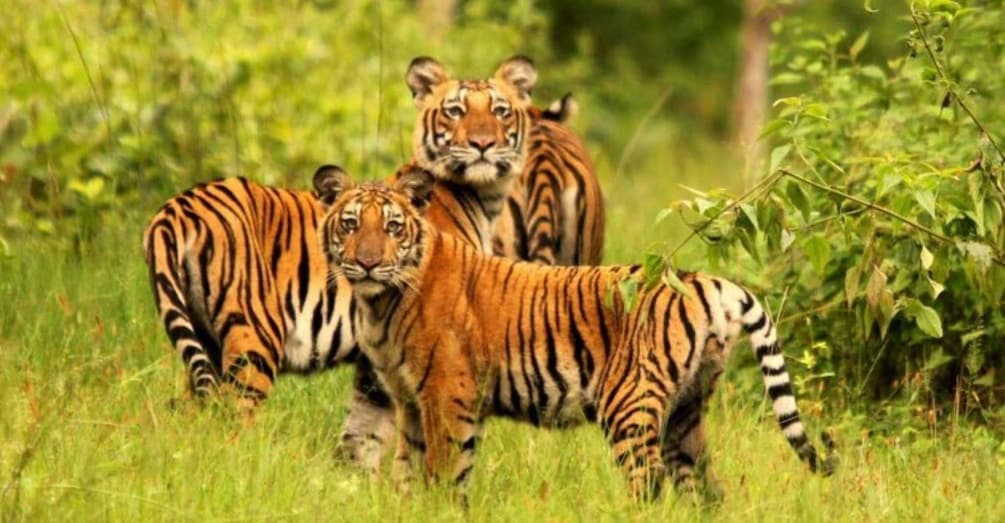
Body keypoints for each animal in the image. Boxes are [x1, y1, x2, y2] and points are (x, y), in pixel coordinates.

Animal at [316, 166, 836, 502]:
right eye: (350, 224)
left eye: (392, 227)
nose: (366, 262)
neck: (380, 302)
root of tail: (703, 280)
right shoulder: (410, 401)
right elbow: (408, 471)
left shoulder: (448, 396)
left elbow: (447, 472)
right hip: (686, 412)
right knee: (703, 491)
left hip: (631, 405)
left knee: (650, 487)